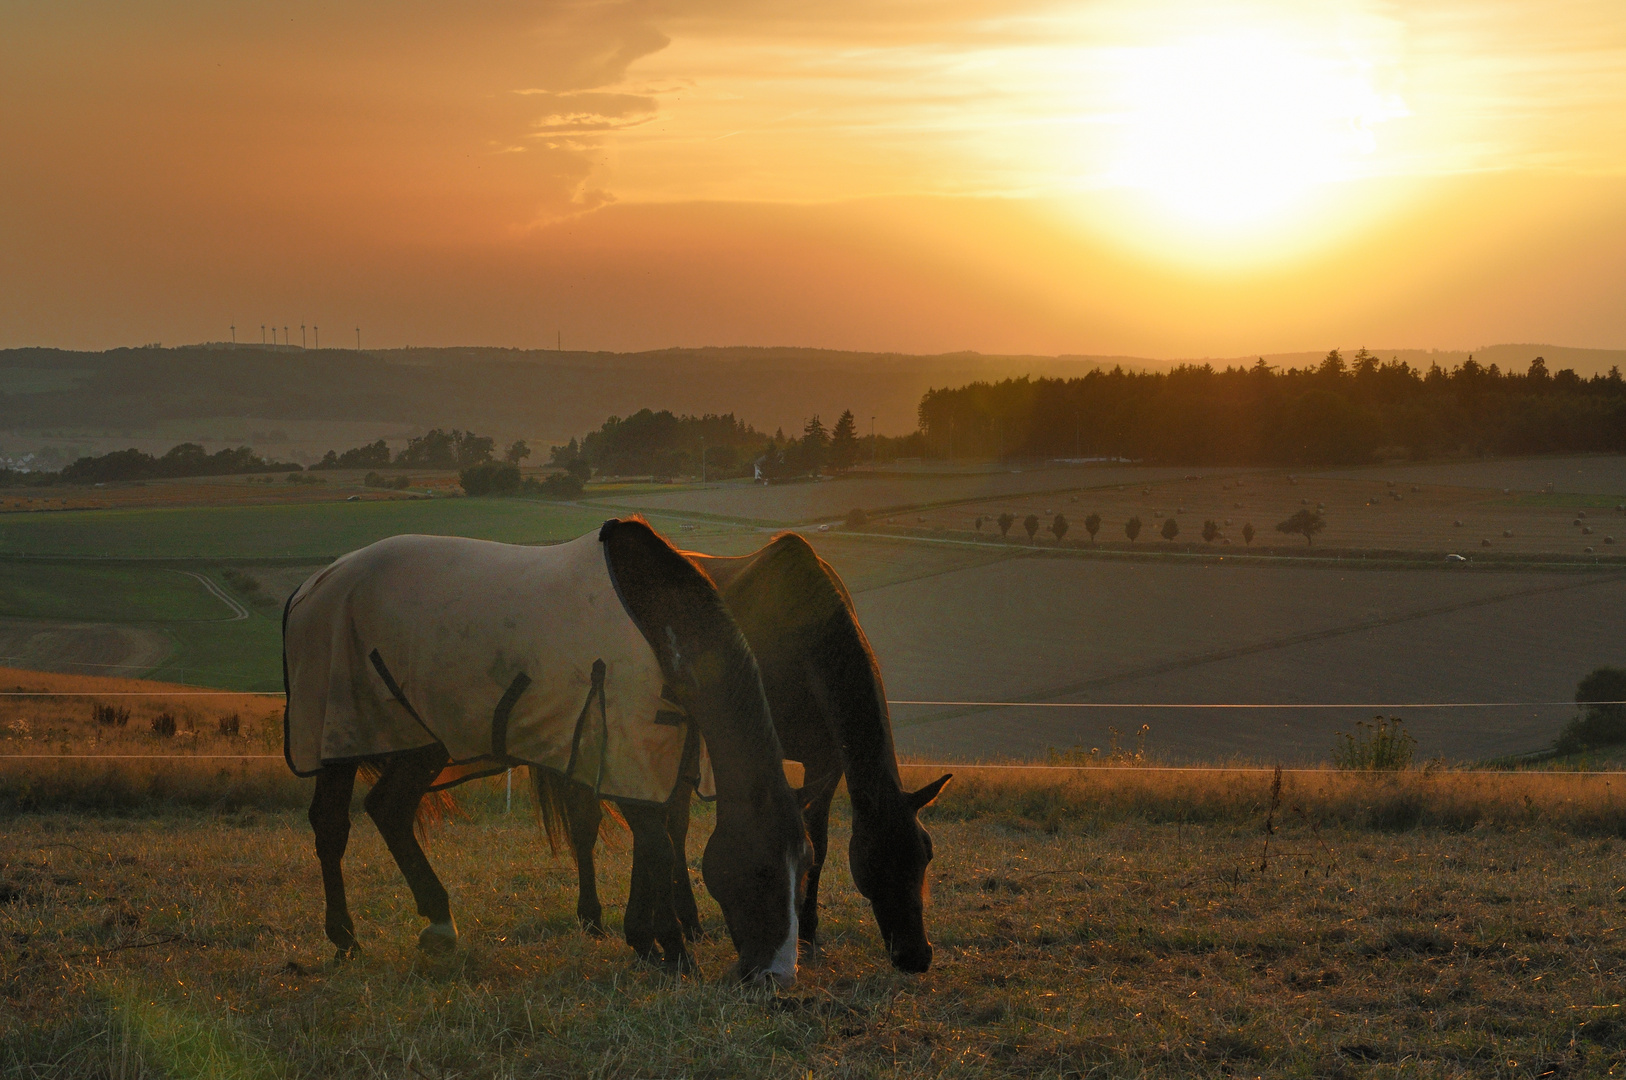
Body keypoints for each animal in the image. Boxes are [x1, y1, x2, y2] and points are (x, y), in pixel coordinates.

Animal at [286, 520, 813, 982]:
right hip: (342, 735)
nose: (776, 976)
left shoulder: (650, 757)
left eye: (806, 867)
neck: (654, 617)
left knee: (388, 809)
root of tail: (312, 586)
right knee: (333, 825)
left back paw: (435, 924)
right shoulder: (625, 747)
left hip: (422, 743)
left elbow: (653, 843)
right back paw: (346, 937)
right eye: (763, 870)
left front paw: (648, 941)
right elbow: (658, 847)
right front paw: (671, 949)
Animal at [543, 536, 949, 975]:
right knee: (589, 820)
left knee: (671, 823)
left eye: (926, 854)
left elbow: (819, 843)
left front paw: (807, 933)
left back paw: (687, 923)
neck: (801, 638)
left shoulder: (825, 760)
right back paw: (593, 918)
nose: (915, 955)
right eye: (875, 864)